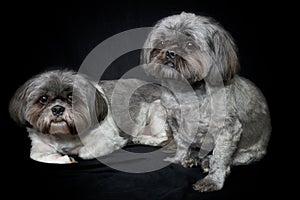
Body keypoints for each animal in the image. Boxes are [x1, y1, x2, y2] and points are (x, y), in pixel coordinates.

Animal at [8, 69, 169, 163]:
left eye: (72, 98)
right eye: (43, 99)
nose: (58, 109)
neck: (63, 135)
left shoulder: (106, 139)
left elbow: (84, 152)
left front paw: (74, 151)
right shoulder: (39, 143)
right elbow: (35, 155)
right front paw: (62, 159)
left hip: (156, 108)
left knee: (165, 138)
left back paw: (145, 139)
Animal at [141, 11, 272, 192]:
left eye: (190, 44)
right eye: (162, 42)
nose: (170, 52)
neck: (187, 91)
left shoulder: (228, 130)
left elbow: (220, 157)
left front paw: (213, 181)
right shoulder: (174, 121)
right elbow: (181, 142)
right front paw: (179, 158)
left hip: (249, 153)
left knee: (231, 158)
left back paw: (207, 162)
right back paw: (193, 157)